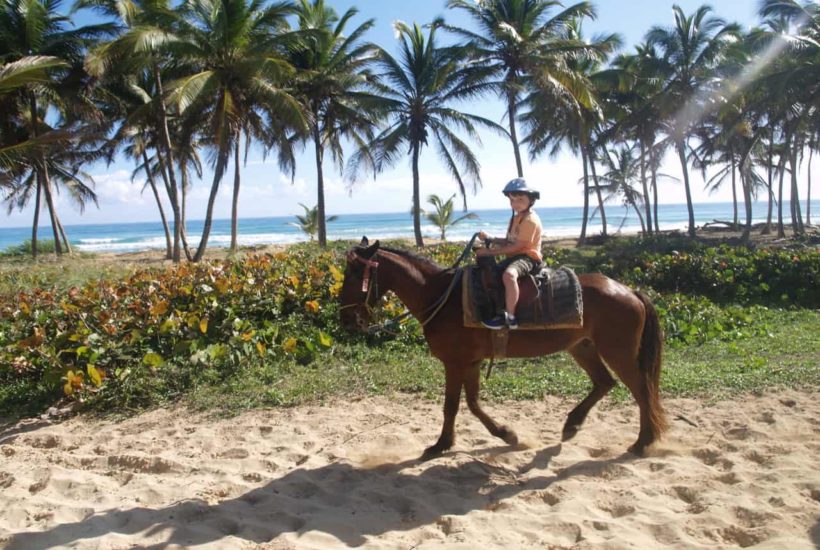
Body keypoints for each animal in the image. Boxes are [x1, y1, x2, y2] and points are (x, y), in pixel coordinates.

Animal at [340, 239, 668, 460]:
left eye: (355, 275)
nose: (347, 320)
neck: (441, 297)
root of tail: (630, 291)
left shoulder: (455, 363)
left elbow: (452, 405)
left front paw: (441, 445)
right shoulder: (470, 362)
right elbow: (472, 403)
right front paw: (505, 434)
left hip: (619, 352)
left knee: (642, 392)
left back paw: (642, 442)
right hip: (583, 347)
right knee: (605, 383)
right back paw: (572, 425)